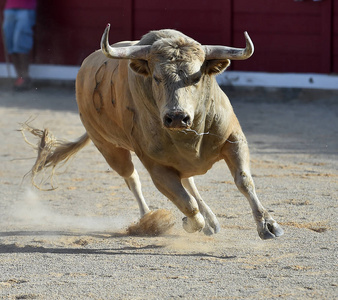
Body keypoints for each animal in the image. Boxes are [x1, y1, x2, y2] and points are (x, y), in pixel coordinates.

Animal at [25, 24, 282, 239]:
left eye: (197, 77)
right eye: (157, 77)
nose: (177, 116)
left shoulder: (234, 139)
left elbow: (244, 181)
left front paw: (268, 225)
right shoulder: (157, 167)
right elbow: (187, 204)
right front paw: (189, 223)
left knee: (188, 182)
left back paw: (210, 221)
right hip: (109, 148)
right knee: (133, 179)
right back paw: (148, 218)